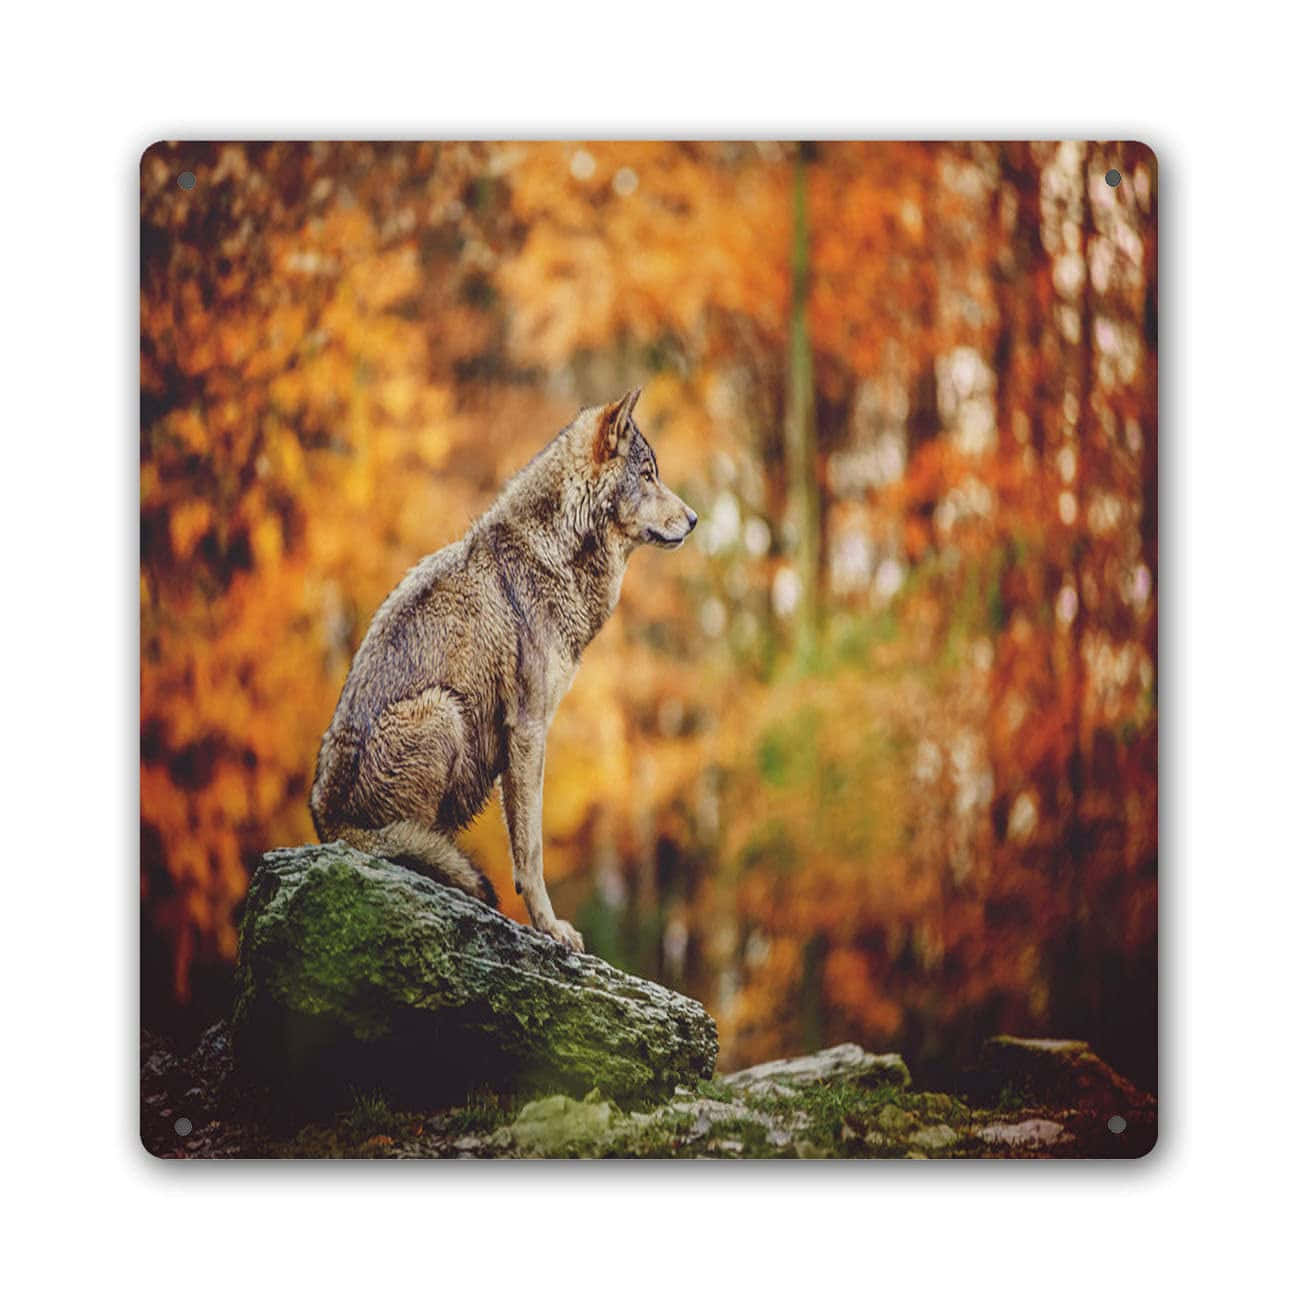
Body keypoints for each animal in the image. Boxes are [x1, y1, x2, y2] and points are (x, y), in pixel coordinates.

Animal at [310, 389, 697, 951]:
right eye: (647, 475)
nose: (695, 519)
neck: (553, 553)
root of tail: (326, 822)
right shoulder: (529, 728)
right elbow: (531, 850)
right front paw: (551, 928)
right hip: (442, 711)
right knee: (407, 846)